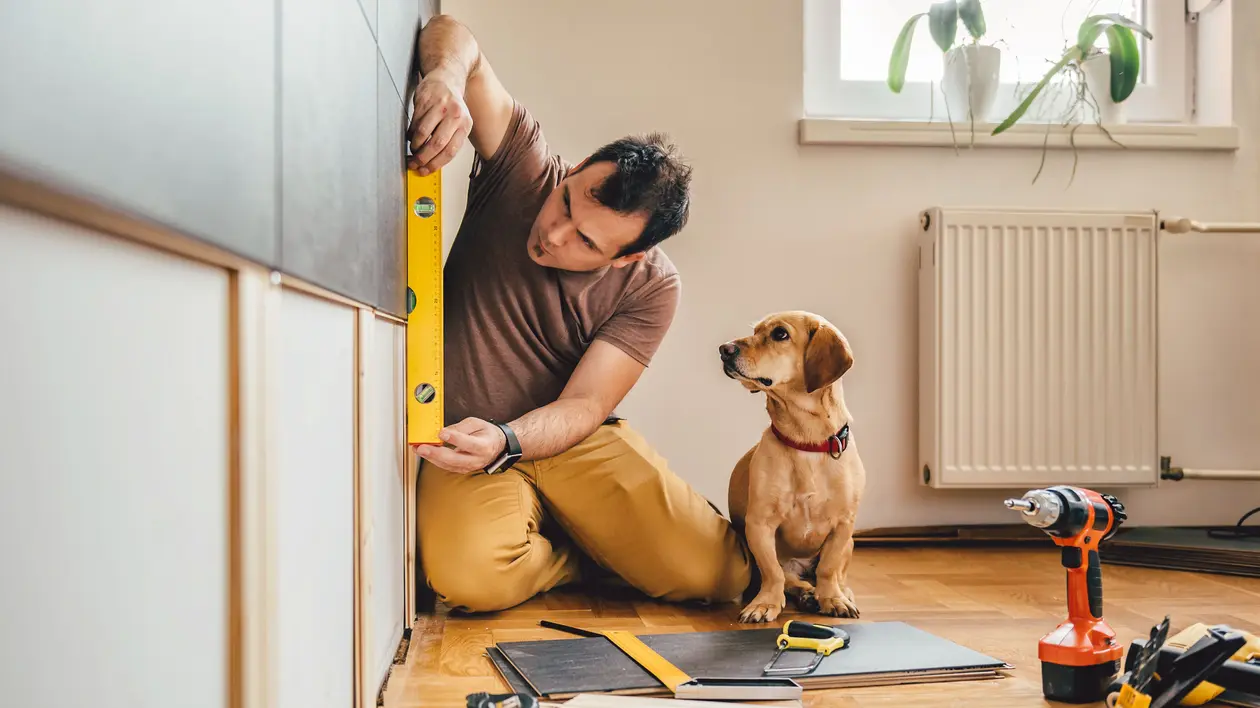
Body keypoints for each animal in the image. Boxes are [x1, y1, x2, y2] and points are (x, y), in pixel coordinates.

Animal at [720, 311, 866, 619]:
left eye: (780, 334)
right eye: (755, 331)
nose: (724, 349)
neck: (806, 442)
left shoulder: (843, 526)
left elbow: (829, 568)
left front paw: (832, 598)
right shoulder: (759, 525)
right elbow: (773, 572)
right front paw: (765, 604)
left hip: (850, 543)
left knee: (837, 574)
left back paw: (837, 593)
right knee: (791, 579)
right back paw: (807, 593)